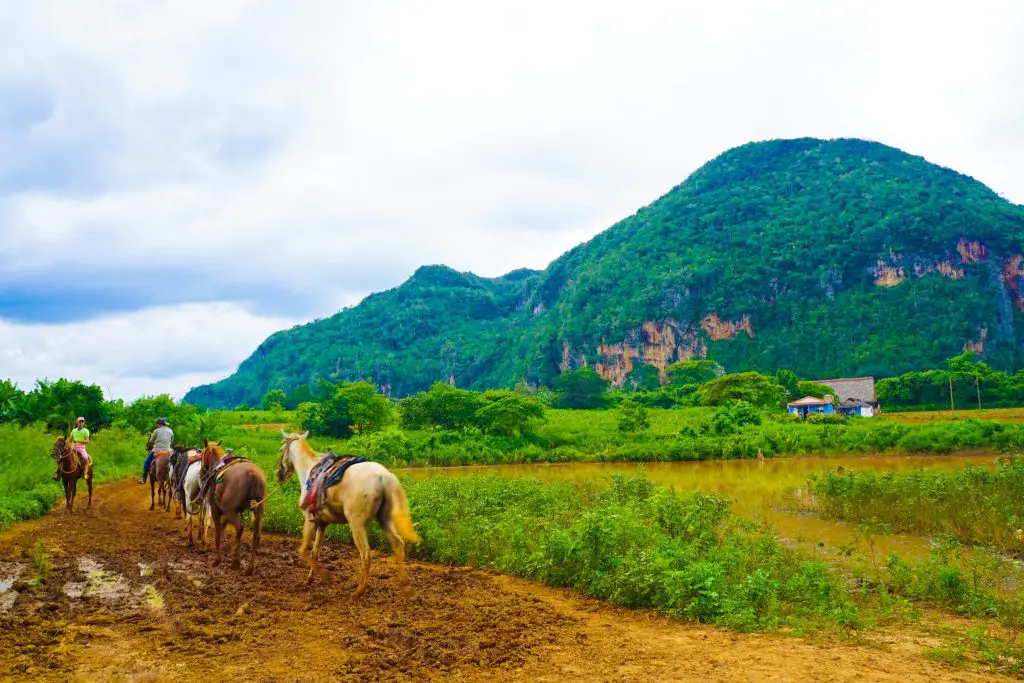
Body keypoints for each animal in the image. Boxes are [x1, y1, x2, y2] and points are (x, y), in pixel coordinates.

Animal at [201, 440, 266, 573]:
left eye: (203, 453)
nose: (201, 471)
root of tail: (252, 474)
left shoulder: (216, 510)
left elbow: (218, 533)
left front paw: (219, 558)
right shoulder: (233, 511)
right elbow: (224, 526)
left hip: (229, 511)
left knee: (240, 528)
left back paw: (235, 561)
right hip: (258, 512)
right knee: (256, 536)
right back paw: (249, 568)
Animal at [276, 432, 419, 598]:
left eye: (281, 449)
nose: (279, 475)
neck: (310, 470)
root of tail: (383, 476)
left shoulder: (309, 520)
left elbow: (303, 551)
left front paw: (326, 577)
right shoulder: (322, 523)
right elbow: (314, 553)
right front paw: (309, 580)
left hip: (357, 525)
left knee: (365, 553)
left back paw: (359, 591)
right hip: (385, 519)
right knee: (398, 544)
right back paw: (405, 586)